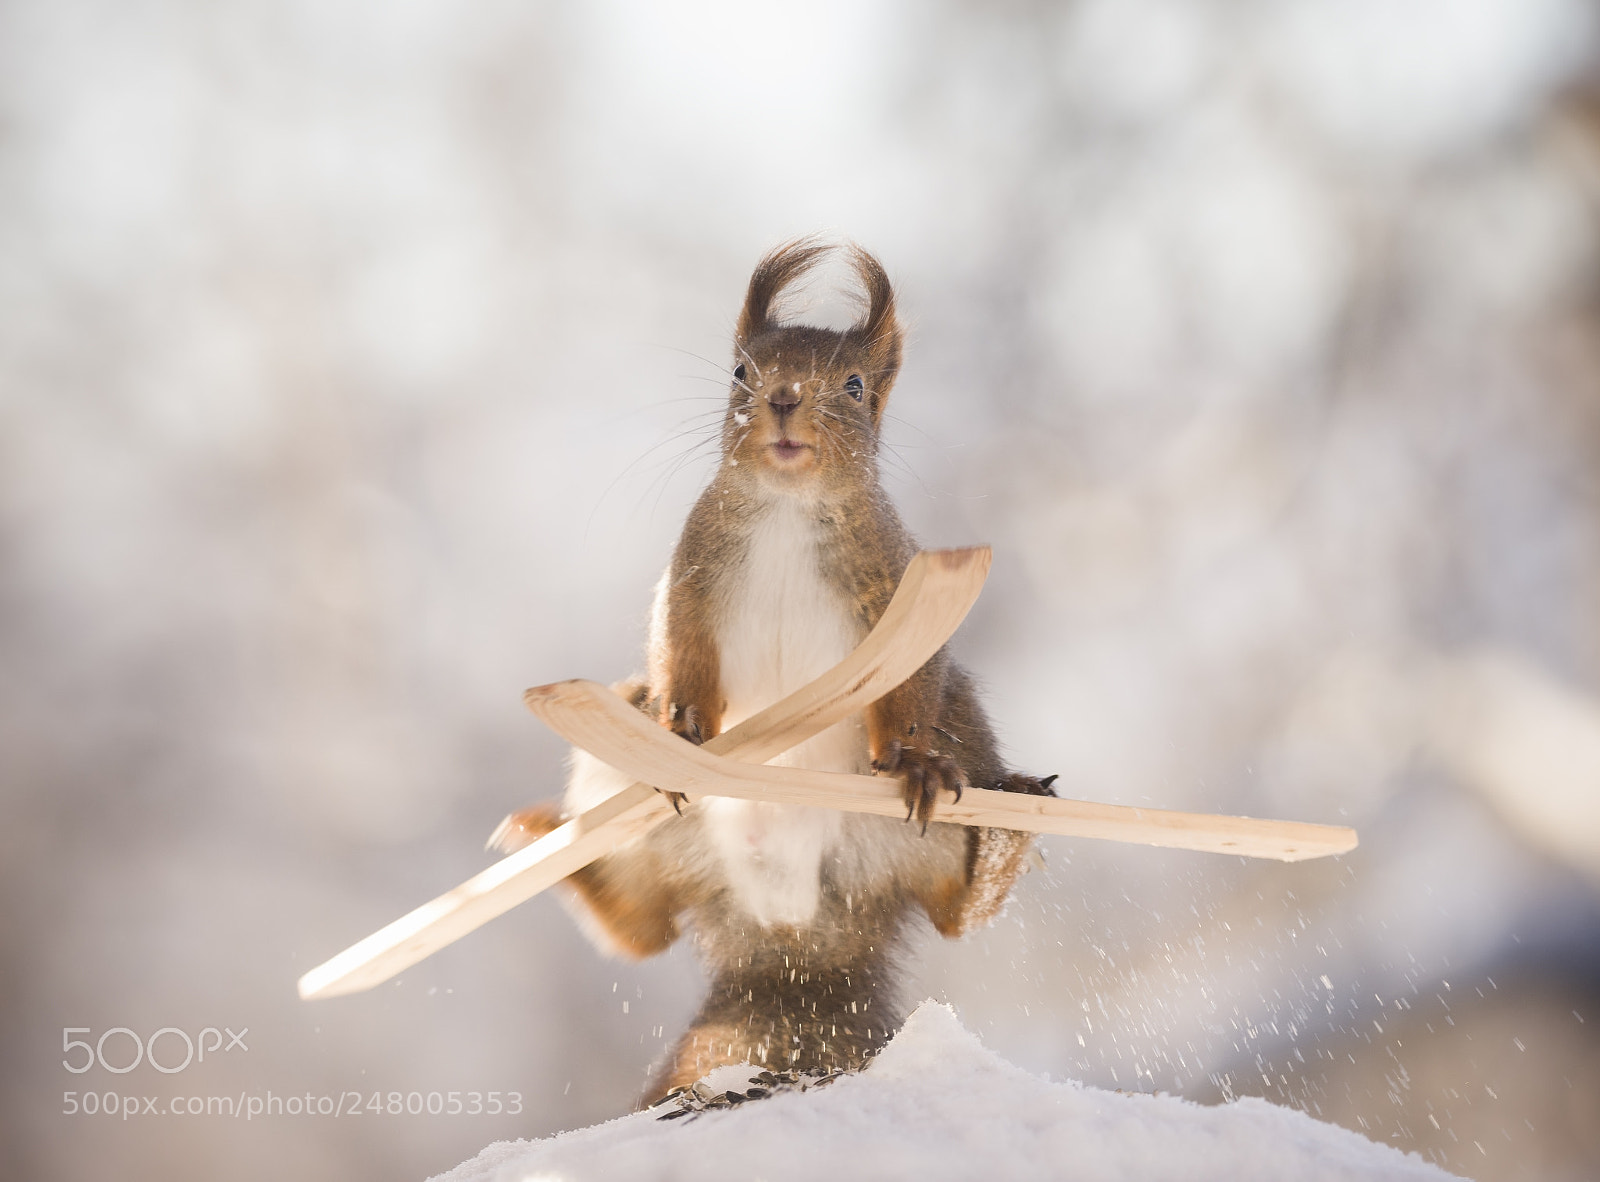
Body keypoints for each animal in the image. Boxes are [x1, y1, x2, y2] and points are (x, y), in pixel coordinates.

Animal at [491, 239, 1054, 1101]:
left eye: (853, 386)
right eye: (740, 372)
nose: (785, 400)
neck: (788, 505)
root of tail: (792, 938)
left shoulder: (895, 581)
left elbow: (910, 680)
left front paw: (912, 761)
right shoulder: (690, 577)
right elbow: (679, 648)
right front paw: (686, 730)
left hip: (953, 755)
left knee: (957, 911)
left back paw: (999, 836)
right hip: (620, 782)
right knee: (638, 925)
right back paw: (543, 839)